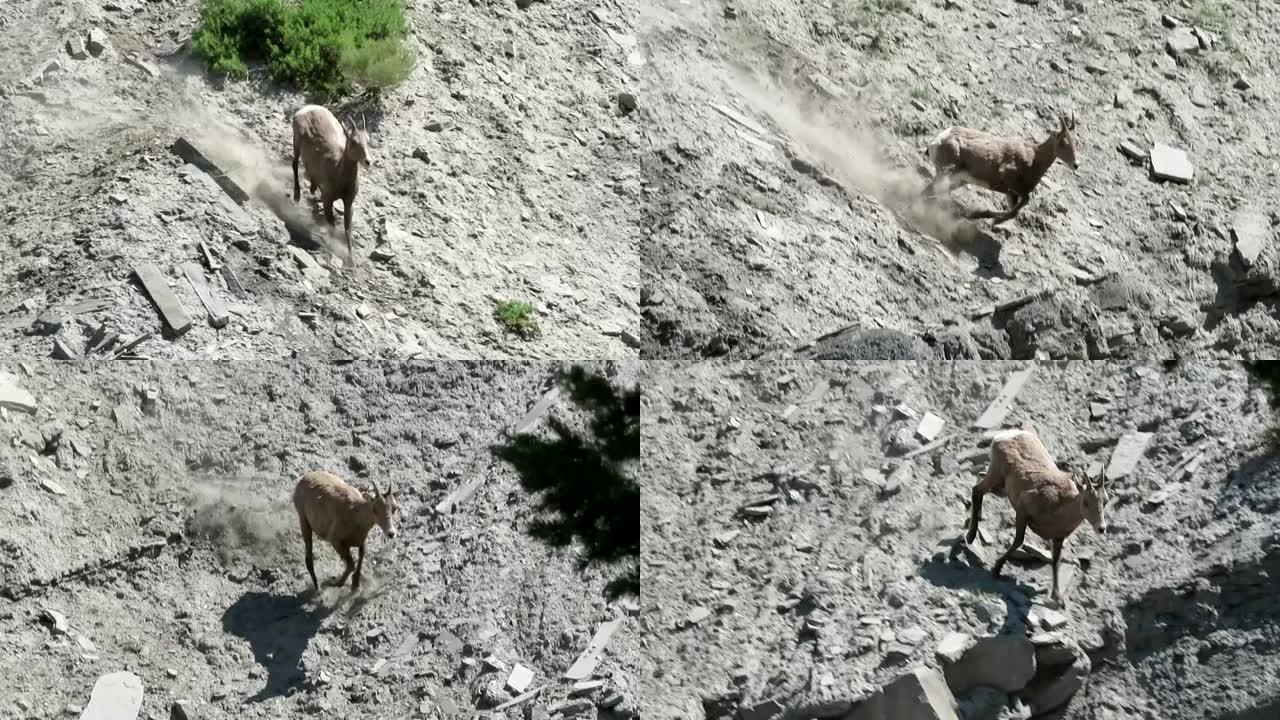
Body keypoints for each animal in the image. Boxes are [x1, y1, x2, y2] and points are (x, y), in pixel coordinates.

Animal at [290, 105, 371, 265]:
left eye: (368, 140)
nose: (368, 161)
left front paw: (351, 262)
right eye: (353, 142)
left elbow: (347, 230)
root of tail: (305, 109)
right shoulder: (328, 200)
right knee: (295, 164)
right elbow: (332, 227)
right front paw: (331, 253)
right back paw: (297, 196)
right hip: (296, 142)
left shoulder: (348, 202)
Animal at [921, 110, 1080, 222]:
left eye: (1075, 142)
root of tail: (938, 140)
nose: (1076, 165)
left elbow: (1018, 207)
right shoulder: (1010, 181)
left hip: (958, 180)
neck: (1034, 156)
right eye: (1063, 142)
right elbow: (1021, 204)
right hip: (945, 173)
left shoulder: (1013, 193)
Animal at [962, 427, 1105, 602]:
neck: (1059, 507)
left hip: (999, 484)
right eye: (1086, 502)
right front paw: (996, 569)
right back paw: (970, 537)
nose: (1101, 528)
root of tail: (1007, 435)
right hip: (995, 475)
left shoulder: (1058, 538)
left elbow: (1055, 561)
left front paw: (1058, 598)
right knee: (977, 490)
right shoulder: (1022, 513)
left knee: (980, 479)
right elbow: (1018, 542)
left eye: (1105, 501)